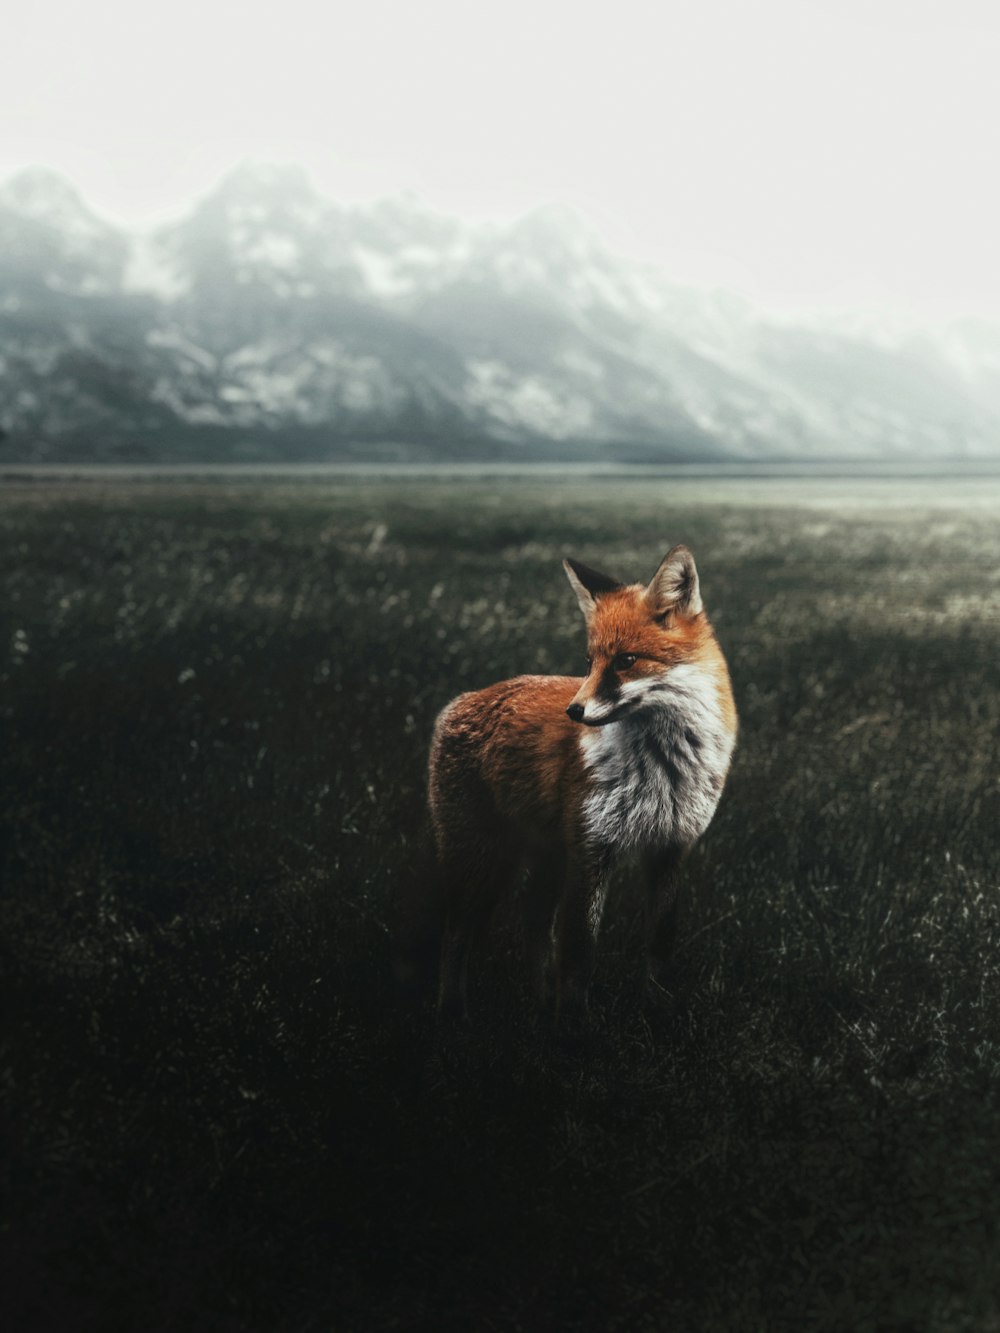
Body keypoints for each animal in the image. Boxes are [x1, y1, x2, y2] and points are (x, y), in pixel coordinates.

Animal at [397, 541, 736, 1018]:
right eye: (589, 662)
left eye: (627, 661)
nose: (574, 711)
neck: (660, 767)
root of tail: (460, 701)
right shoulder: (592, 850)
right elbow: (577, 956)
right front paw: (573, 1025)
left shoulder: (670, 847)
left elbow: (659, 945)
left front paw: (657, 1010)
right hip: (482, 860)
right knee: (455, 935)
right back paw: (454, 1011)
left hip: (546, 858)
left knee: (534, 927)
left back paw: (540, 1005)